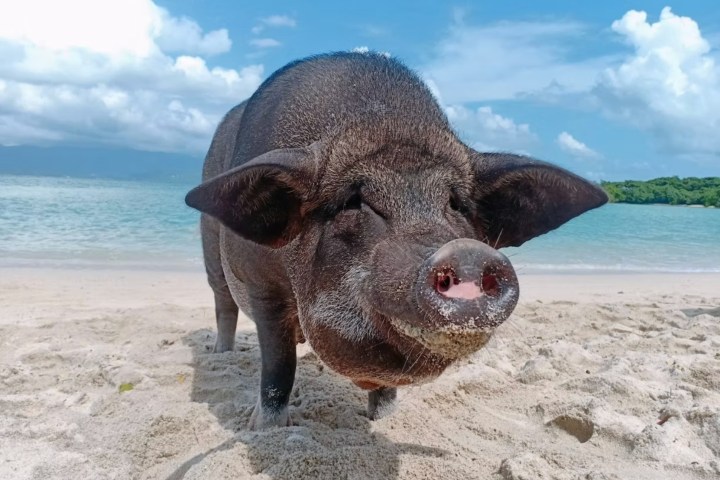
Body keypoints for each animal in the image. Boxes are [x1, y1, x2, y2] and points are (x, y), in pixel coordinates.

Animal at [185, 51, 607, 429]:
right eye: (354, 201)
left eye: (455, 203)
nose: (466, 252)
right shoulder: (261, 285)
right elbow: (278, 366)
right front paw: (265, 429)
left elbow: (385, 390)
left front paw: (385, 421)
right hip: (211, 254)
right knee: (223, 305)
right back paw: (220, 354)